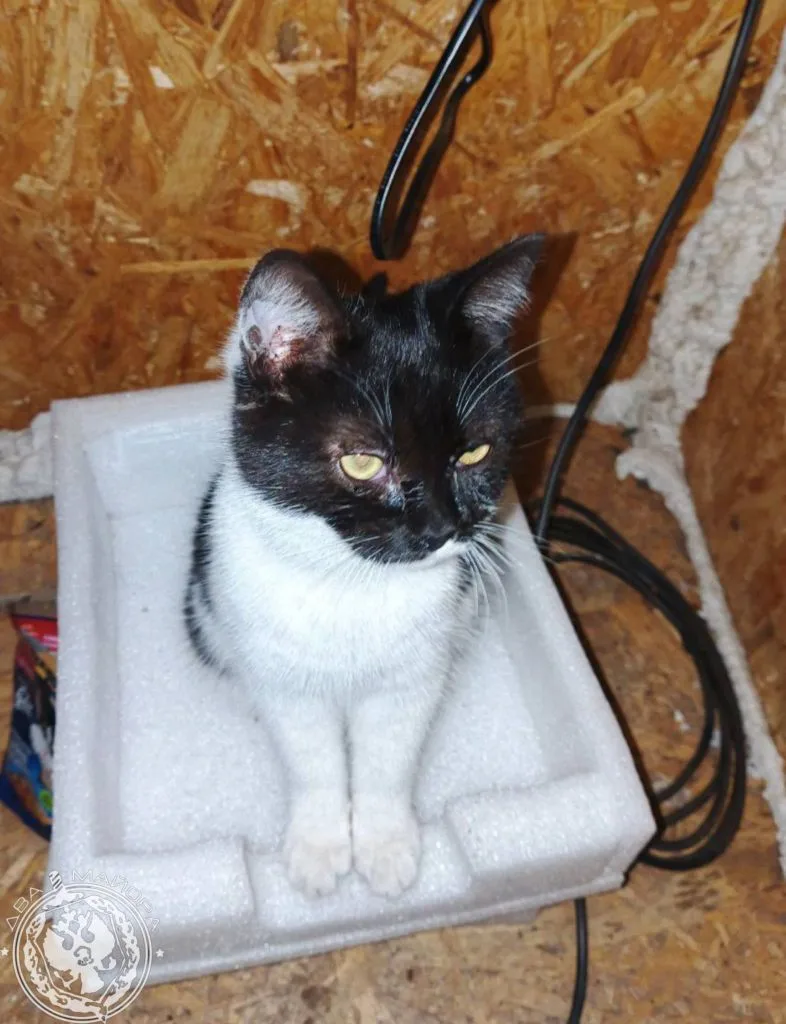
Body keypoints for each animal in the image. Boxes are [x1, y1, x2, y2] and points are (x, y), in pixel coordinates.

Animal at [185, 235, 542, 899]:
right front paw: (319, 852)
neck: (352, 583)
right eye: (362, 462)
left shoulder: (411, 679)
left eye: (475, 452)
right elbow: (314, 763)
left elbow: (386, 762)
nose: (441, 529)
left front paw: (385, 849)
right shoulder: (286, 679)